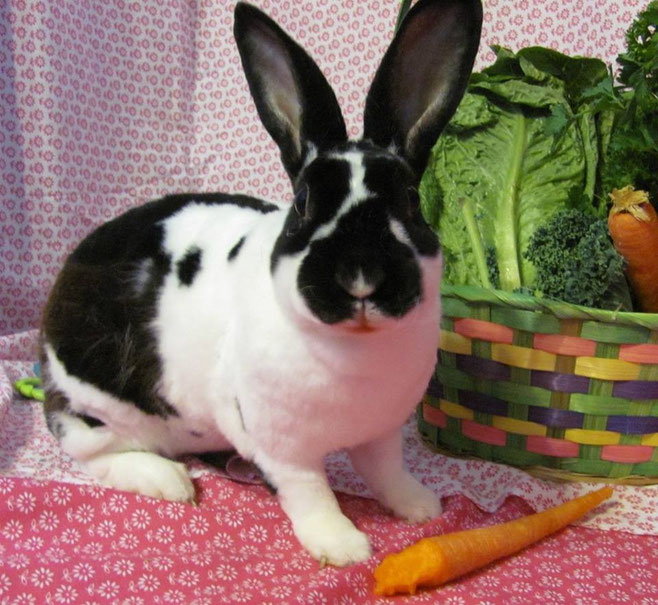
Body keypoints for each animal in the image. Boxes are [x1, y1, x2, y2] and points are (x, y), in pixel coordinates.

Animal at [40, 0, 482, 566]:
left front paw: (421, 507)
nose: (360, 280)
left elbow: (386, 471)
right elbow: (311, 492)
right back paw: (168, 481)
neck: (355, 349)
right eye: (303, 204)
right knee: (84, 448)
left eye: (410, 200)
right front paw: (342, 546)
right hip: (100, 409)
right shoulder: (283, 447)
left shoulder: (382, 432)